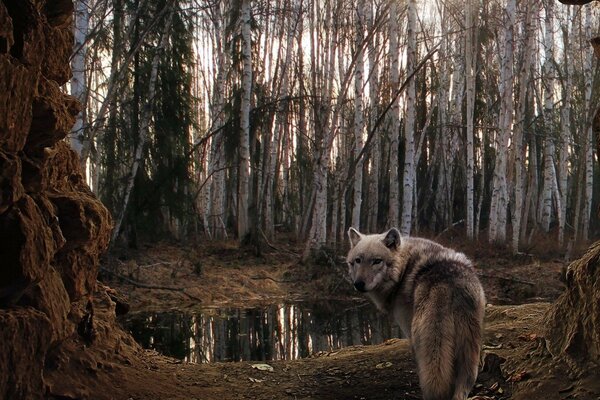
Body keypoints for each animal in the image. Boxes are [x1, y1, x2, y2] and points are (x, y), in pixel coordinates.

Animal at [344, 228, 486, 400]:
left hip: (424, 340)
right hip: (470, 351)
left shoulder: (408, 331)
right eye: (358, 260)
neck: (403, 269)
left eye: (377, 261)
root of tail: (449, 283)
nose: (358, 284)